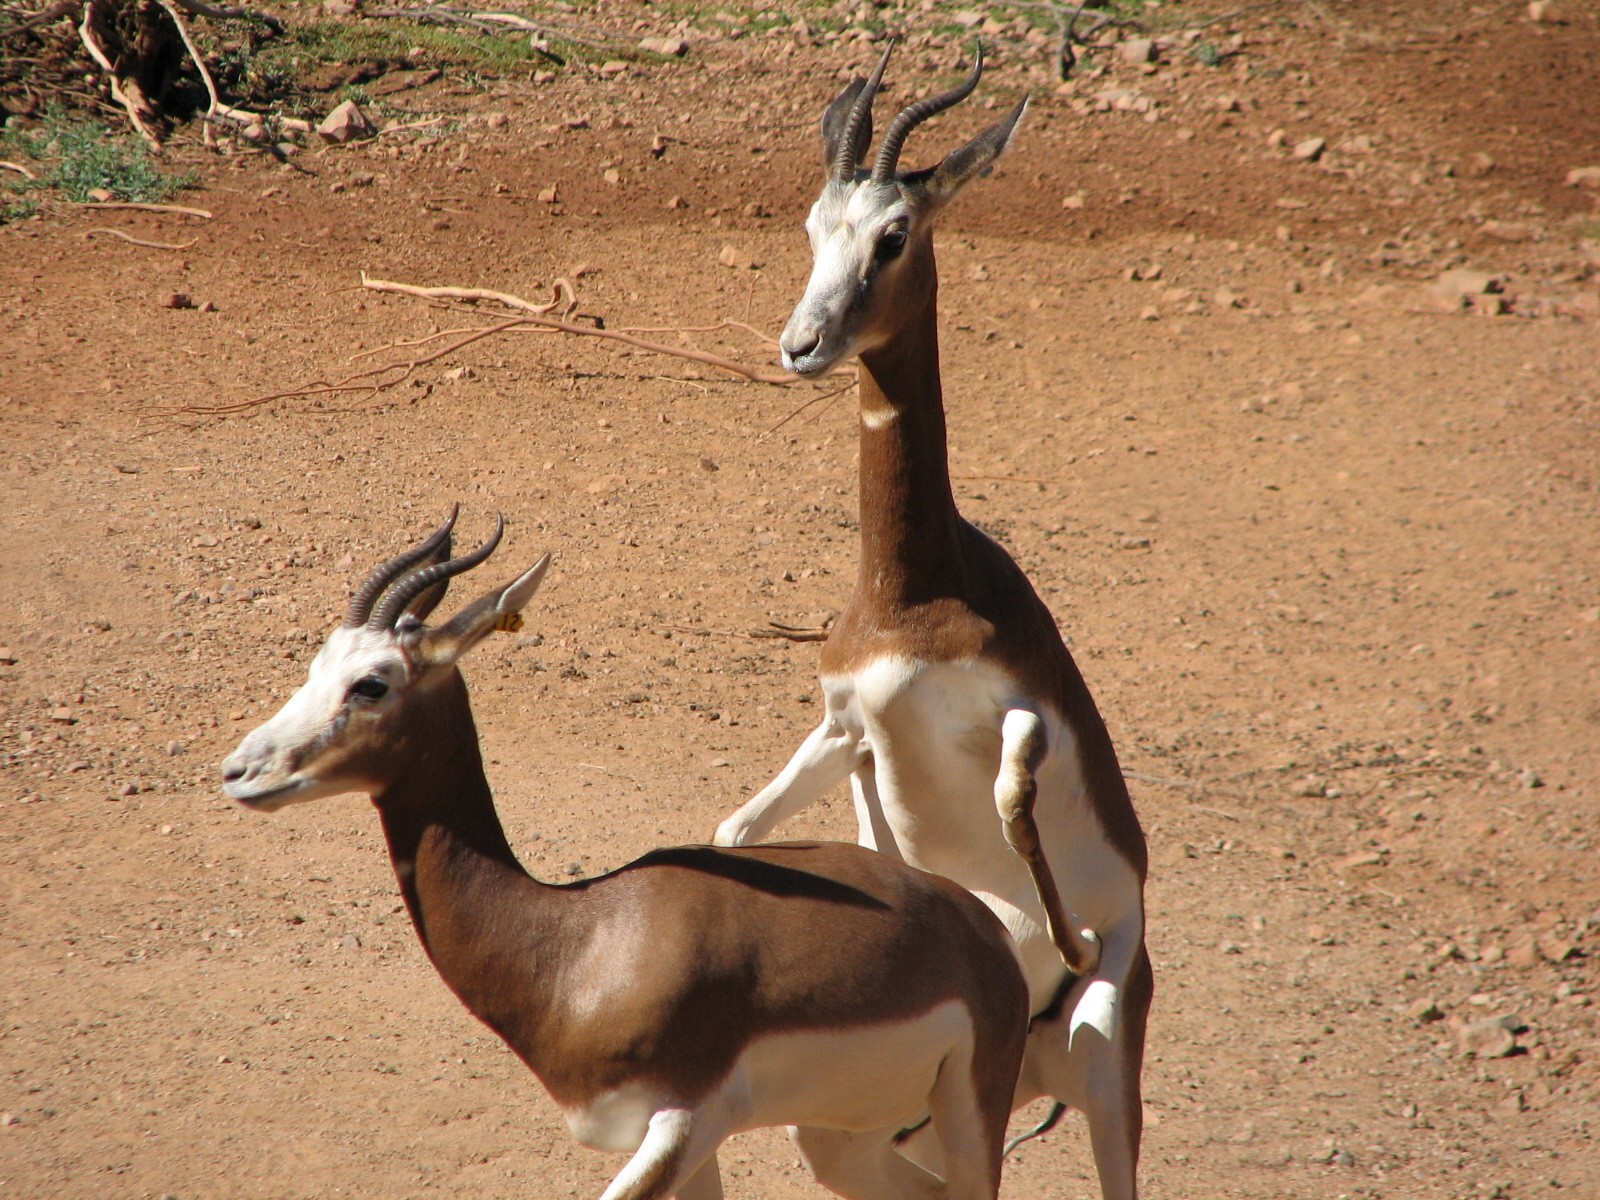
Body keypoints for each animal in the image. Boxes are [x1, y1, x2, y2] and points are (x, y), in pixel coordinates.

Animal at [221, 509, 1030, 1200]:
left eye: (372, 683)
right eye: (316, 663)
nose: (239, 771)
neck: (578, 943)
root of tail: (978, 926)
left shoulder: (681, 1124)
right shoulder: (683, 1138)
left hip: (968, 1109)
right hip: (841, 1136)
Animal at [713, 44, 1152, 1200]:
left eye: (894, 234)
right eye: (812, 224)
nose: (802, 345)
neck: (910, 596)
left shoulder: (1021, 713)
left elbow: (1009, 793)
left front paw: (1059, 939)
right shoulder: (845, 723)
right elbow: (738, 829)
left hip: (1095, 1070)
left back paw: (1066, 965)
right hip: (869, 1135)